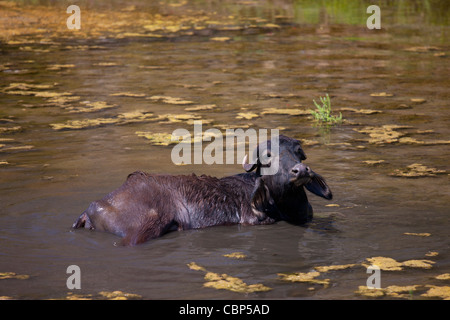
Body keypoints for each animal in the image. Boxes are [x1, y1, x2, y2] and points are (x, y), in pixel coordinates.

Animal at [73, 134, 330, 245]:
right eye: (268, 156)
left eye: (299, 152)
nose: (300, 170)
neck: (284, 205)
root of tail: (93, 208)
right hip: (145, 227)